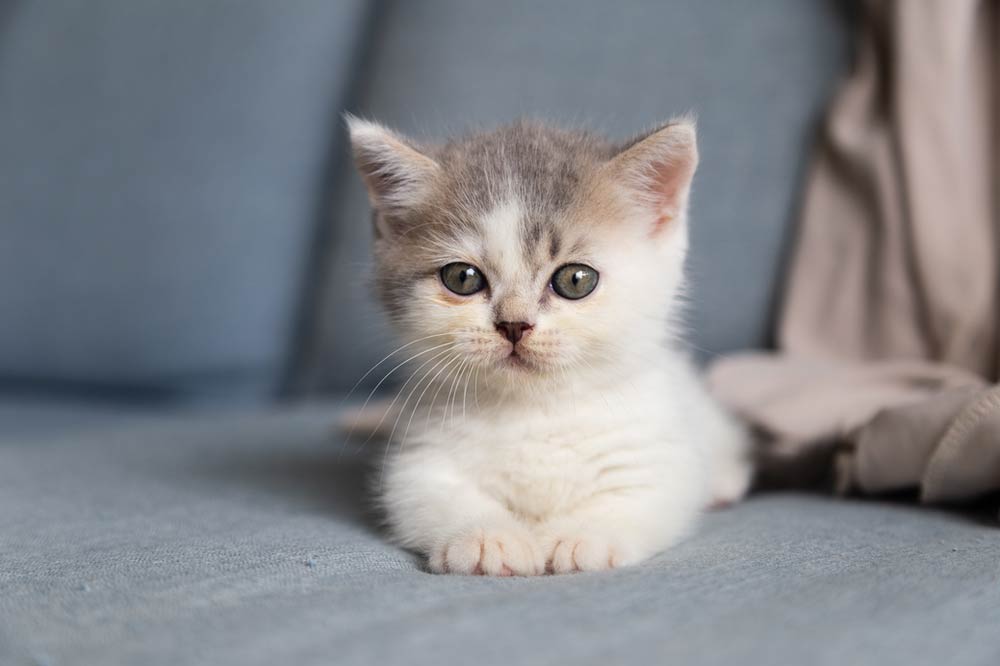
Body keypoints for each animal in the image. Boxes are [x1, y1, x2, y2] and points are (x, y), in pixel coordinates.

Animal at [348, 116, 748, 572]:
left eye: (576, 279)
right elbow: (435, 497)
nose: (514, 324)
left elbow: (640, 495)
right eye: (462, 278)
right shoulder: (419, 462)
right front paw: (487, 538)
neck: (534, 410)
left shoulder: (659, 455)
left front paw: (585, 537)